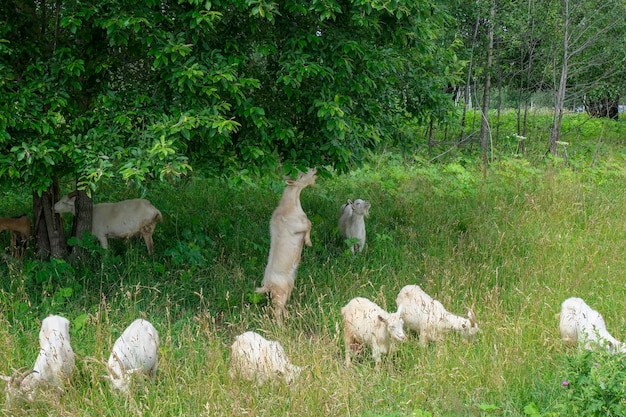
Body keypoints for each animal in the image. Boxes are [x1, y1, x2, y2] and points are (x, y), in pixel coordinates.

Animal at [256, 167, 316, 324]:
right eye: (301, 175)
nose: (314, 169)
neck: (291, 204)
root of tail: (267, 285)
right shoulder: (296, 226)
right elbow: (309, 224)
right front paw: (308, 242)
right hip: (280, 293)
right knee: (276, 312)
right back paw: (281, 325)